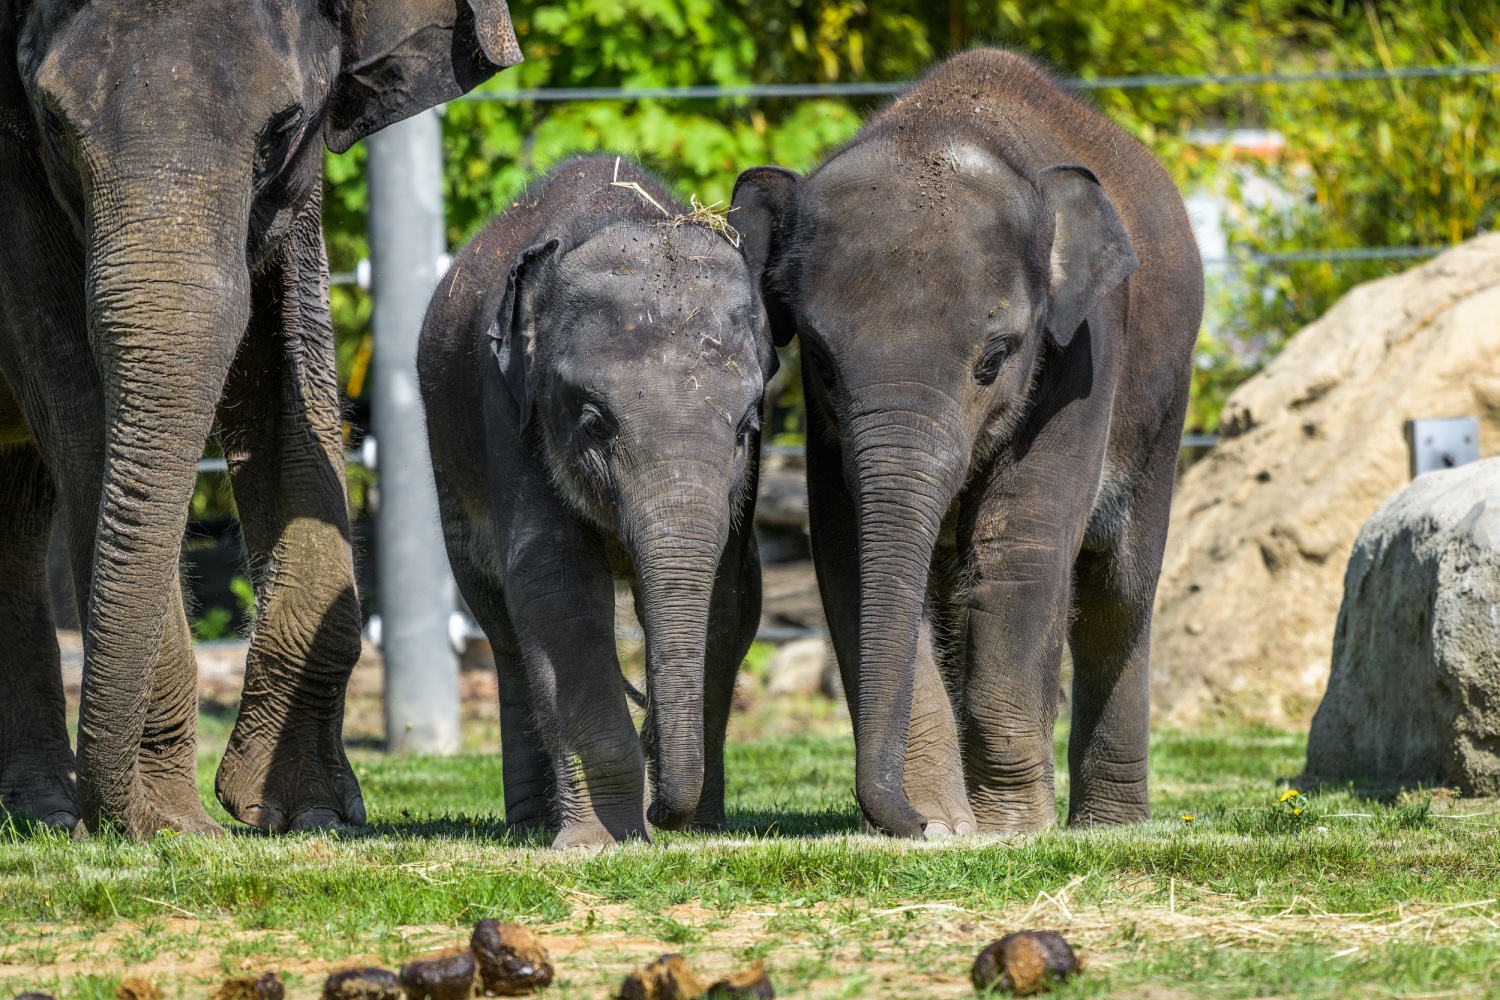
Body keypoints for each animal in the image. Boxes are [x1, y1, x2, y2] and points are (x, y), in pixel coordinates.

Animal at [420, 154, 774, 845]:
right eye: (591, 421)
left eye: (747, 426)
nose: (663, 813)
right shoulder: (510, 412)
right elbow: (555, 585)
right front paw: (600, 841)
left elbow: (731, 594)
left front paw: (695, 827)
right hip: (448, 466)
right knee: (499, 624)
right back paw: (532, 826)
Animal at [732, 50, 1200, 839]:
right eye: (820, 361)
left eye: (995, 358)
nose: (911, 822)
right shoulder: (829, 431)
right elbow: (848, 554)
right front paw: (947, 826)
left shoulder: (1085, 355)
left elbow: (1020, 551)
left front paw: (1010, 829)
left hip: (1166, 406)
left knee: (1120, 594)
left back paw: (1110, 826)